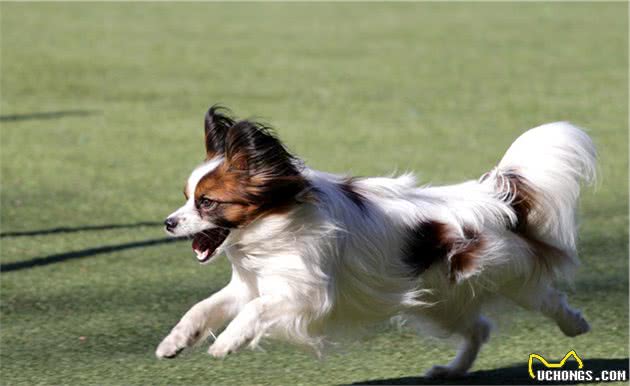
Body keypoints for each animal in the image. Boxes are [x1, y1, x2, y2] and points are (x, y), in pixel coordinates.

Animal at [157, 105, 596, 376]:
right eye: (186, 197)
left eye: (207, 202)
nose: (168, 223)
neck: (274, 225)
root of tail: (492, 196)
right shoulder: (252, 285)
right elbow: (201, 309)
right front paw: (175, 342)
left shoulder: (308, 296)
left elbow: (254, 312)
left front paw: (228, 343)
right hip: (440, 304)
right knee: (480, 328)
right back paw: (451, 371)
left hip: (510, 276)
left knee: (548, 298)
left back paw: (575, 325)